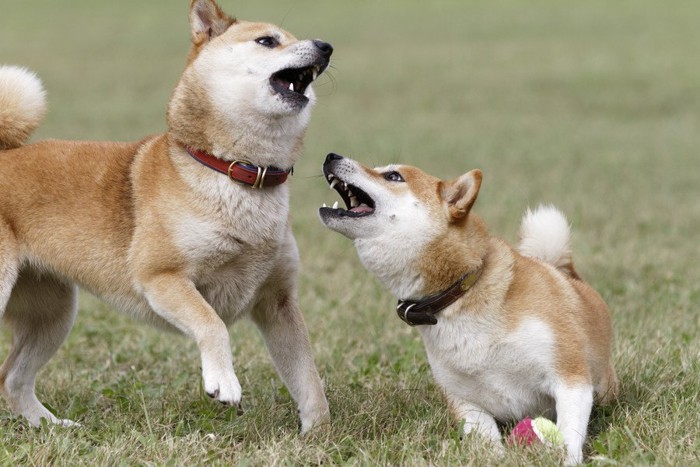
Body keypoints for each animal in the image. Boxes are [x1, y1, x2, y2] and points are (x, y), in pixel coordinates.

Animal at [0, 0, 334, 436]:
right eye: (267, 41)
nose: (326, 46)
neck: (235, 173)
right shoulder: (161, 276)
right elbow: (213, 324)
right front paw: (223, 381)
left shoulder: (277, 301)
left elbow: (308, 378)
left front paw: (321, 434)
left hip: (53, 314)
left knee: (12, 379)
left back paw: (51, 425)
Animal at [318, 154, 616, 464]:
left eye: (393, 176)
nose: (331, 156)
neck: (461, 291)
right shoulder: (466, 402)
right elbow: (487, 442)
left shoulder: (570, 377)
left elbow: (569, 433)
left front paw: (566, 459)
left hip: (604, 388)